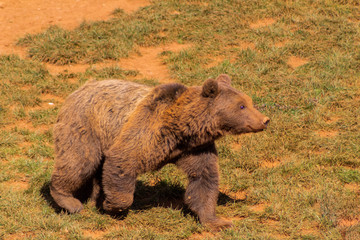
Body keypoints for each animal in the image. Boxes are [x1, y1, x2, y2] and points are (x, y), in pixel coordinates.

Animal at [50, 74, 270, 230]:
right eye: (241, 106)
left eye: (249, 102)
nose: (265, 120)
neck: (182, 129)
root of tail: (79, 89)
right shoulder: (147, 130)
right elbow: (123, 160)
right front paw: (112, 205)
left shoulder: (194, 149)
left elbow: (204, 180)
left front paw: (217, 221)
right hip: (86, 127)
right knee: (79, 161)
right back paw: (70, 201)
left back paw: (92, 197)